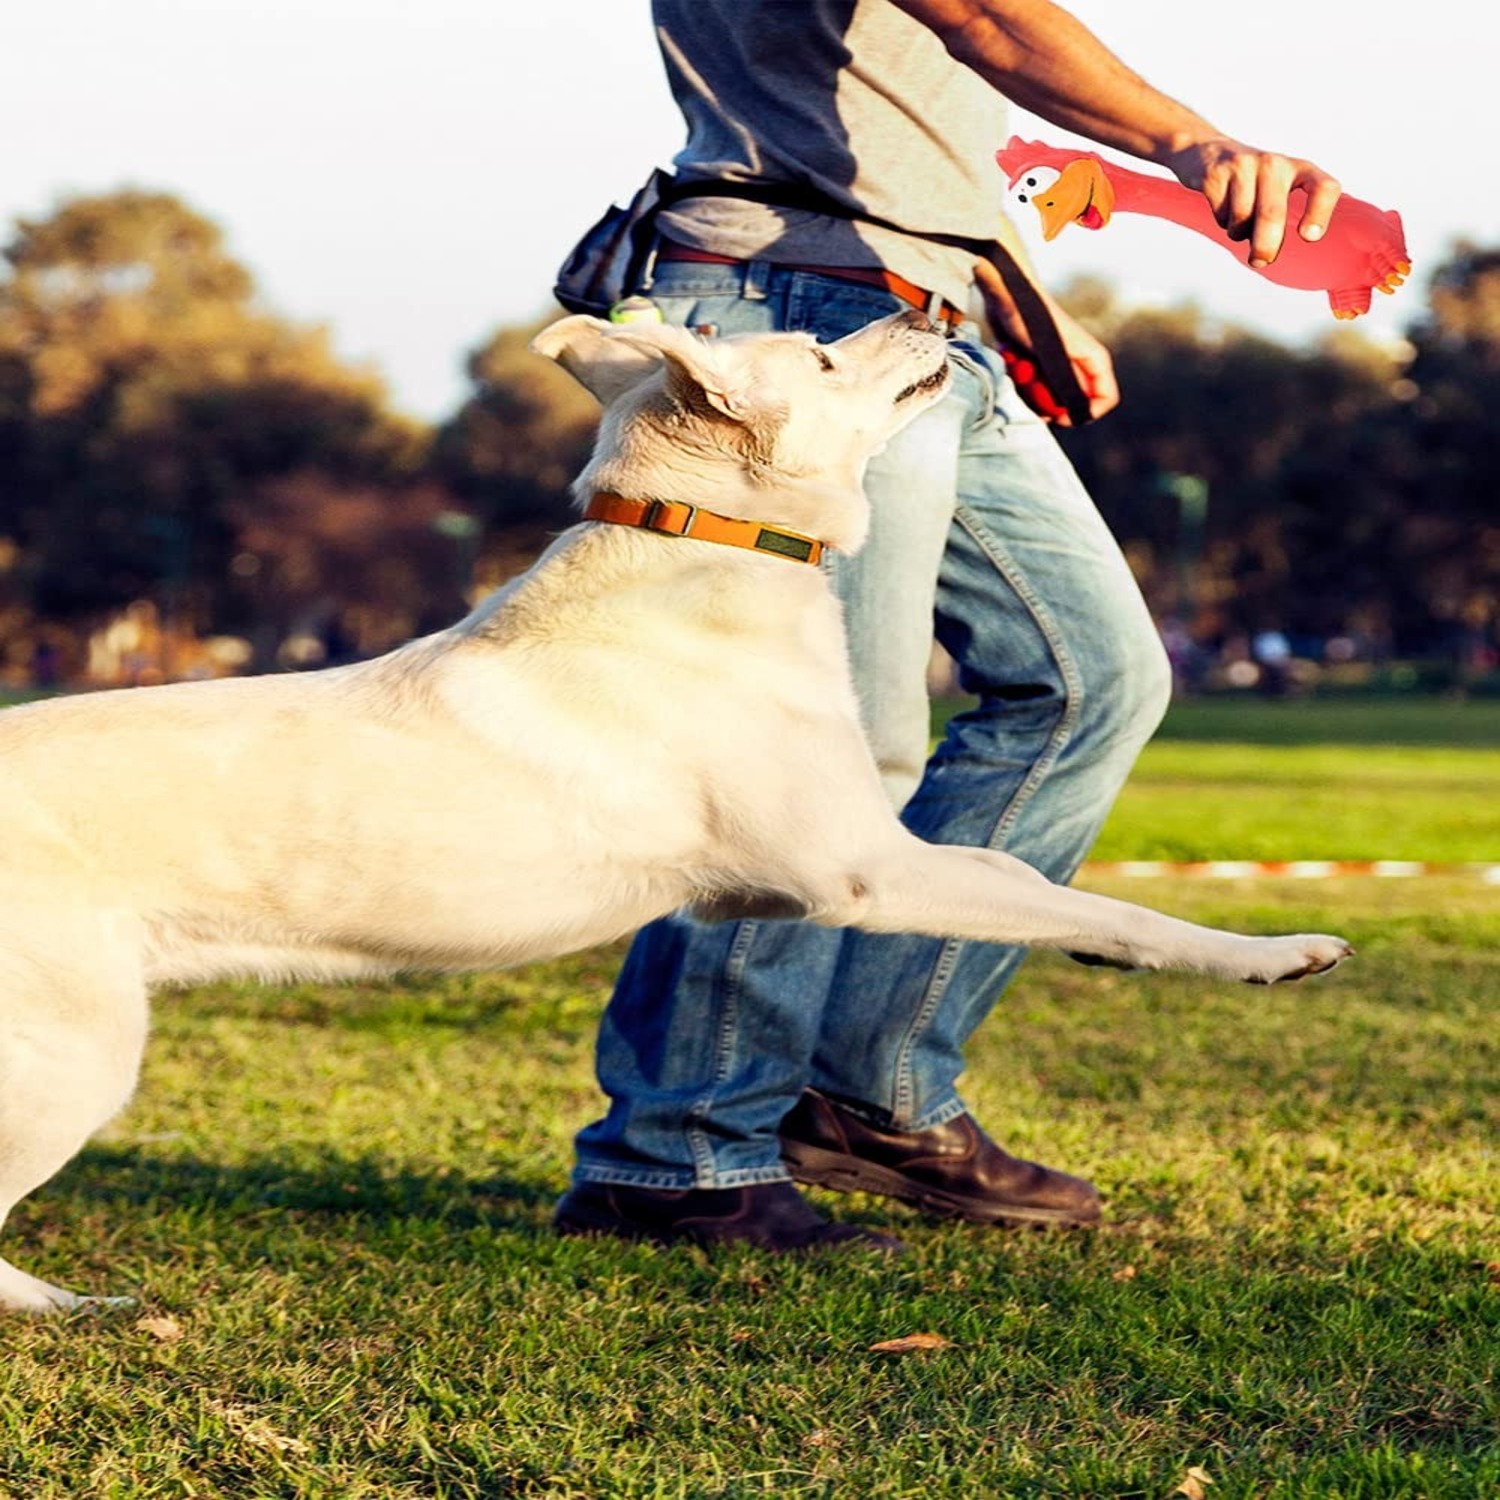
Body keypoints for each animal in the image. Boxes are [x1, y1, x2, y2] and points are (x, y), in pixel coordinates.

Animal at [0, 310, 1350, 1308]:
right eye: (818, 353)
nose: (933, 306)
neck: (711, 546)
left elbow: (1033, 889)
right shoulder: (861, 871)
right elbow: (1099, 904)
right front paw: (1271, 952)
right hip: (74, 1054)